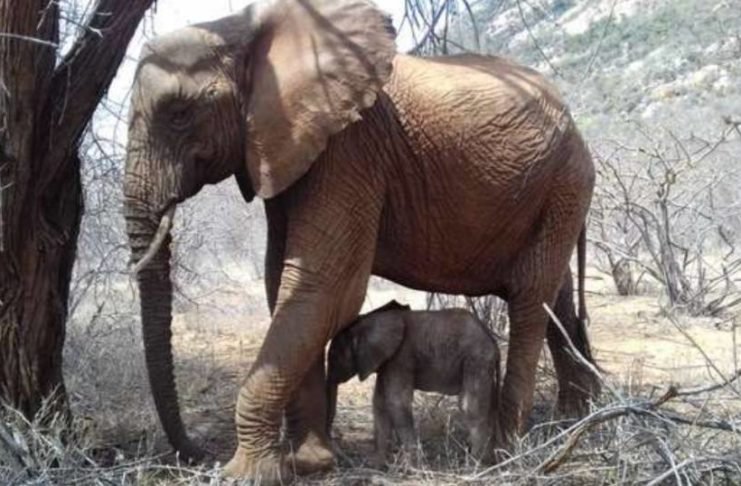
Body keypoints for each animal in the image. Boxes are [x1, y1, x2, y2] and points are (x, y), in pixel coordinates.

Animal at [325, 300, 502, 465]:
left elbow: (396, 402)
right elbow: (380, 403)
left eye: (334, 355)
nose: (340, 458)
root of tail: (493, 341)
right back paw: (488, 459)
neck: (366, 321)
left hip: (476, 359)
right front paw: (376, 464)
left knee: (470, 407)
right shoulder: (387, 362)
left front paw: (409, 467)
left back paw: (476, 463)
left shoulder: (400, 358)